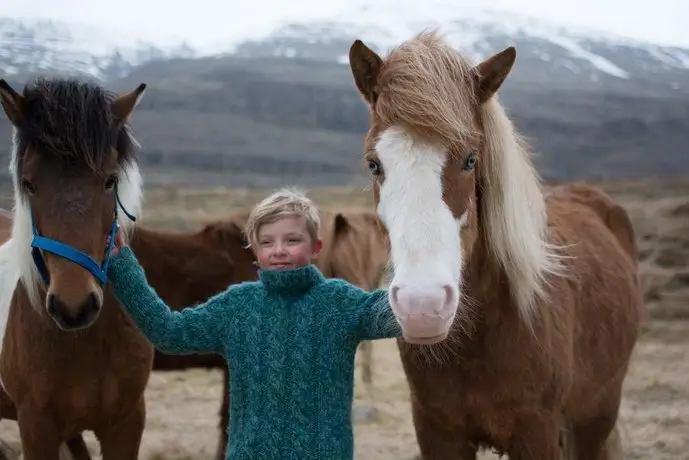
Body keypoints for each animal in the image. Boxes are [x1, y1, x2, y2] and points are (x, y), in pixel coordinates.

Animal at [346, 30, 644, 458]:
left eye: (471, 159)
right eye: (374, 164)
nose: (424, 308)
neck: (480, 337)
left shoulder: (537, 433)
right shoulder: (435, 431)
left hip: (597, 416)